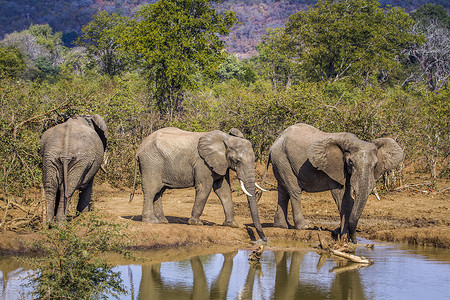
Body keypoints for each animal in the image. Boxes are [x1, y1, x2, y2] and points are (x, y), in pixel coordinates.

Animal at [129, 126, 268, 241]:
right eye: (237, 161)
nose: (264, 239)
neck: (226, 139)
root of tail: (139, 149)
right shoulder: (203, 163)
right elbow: (205, 187)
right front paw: (196, 223)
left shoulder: (221, 163)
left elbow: (223, 190)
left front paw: (232, 225)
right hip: (151, 163)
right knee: (151, 190)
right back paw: (151, 221)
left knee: (160, 191)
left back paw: (163, 221)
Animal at [262, 123, 402, 243]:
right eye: (351, 163)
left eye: (376, 165)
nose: (355, 241)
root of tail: (276, 140)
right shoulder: (335, 167)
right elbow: (341, 196)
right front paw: (343, 234)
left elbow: (349, 197)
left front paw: (339, 233)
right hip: (282, 159)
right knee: (294, 190)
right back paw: (304, 226)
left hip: (280, 162)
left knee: (283, 191)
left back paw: (282, 226)